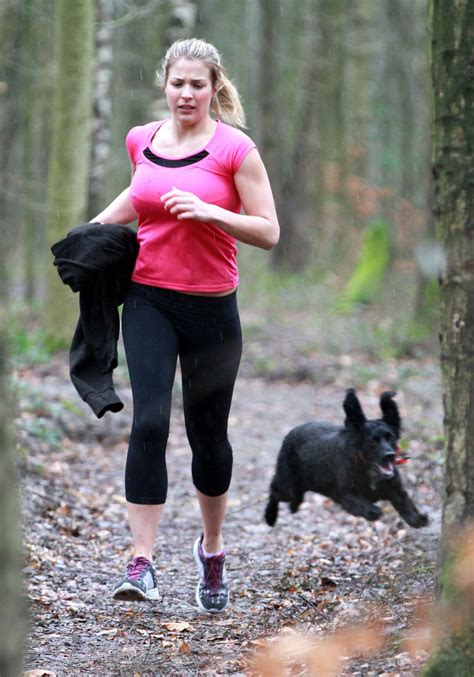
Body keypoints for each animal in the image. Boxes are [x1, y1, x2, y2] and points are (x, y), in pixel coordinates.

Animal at [264, 390, 428, 528]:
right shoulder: (345, 495)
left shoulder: (394, 487)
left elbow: (404, 503)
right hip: (287, 484)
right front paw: (373, 511)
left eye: (391, 438)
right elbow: (364, 505)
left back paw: (294, 506)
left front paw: (417, 519)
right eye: (372, 441)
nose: (390, 455)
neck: (366, 468)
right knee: (273, 489)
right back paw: (270, 517)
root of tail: (291, 432)